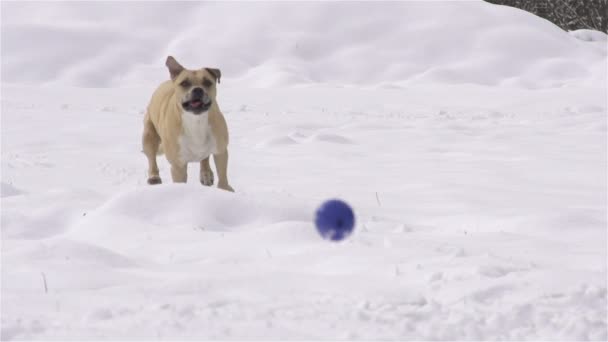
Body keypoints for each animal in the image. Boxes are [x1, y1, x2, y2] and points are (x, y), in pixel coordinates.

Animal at [142, 54, 235, 191]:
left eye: (207, 82)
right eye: (184, 83)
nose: (198, 90)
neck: (196, 121)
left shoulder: (221, 151)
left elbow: (222, 174)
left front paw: (224, 189)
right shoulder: (178, 165)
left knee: (204, 158)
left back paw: (206, 174)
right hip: (148, 135)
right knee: (151, 157)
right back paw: (154, 176)